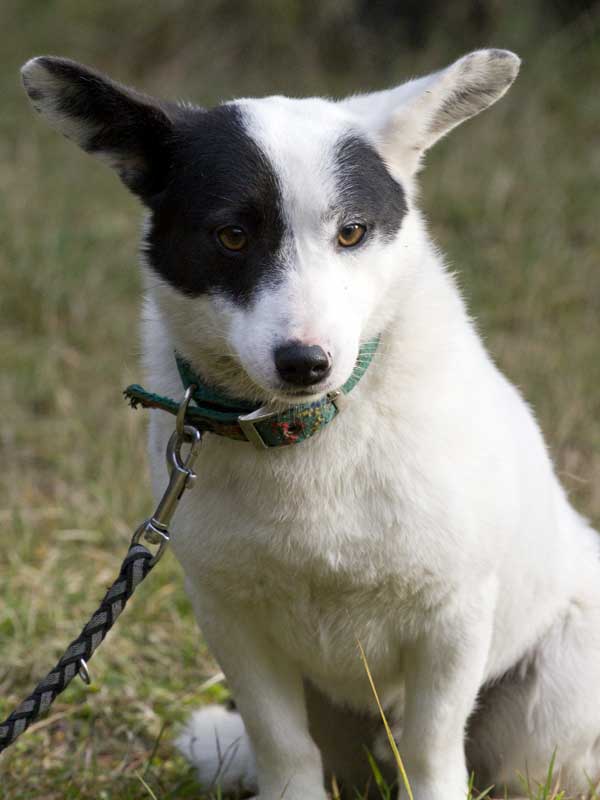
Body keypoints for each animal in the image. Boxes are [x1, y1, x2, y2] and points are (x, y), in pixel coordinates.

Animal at [21, 50, 600, 800]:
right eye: (232, 235)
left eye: (351, 232)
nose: (305, 363)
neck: (306, 434)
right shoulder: (234, 624)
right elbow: (283, 746)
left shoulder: (452, 623)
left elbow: (431, 752)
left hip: (548, 711)